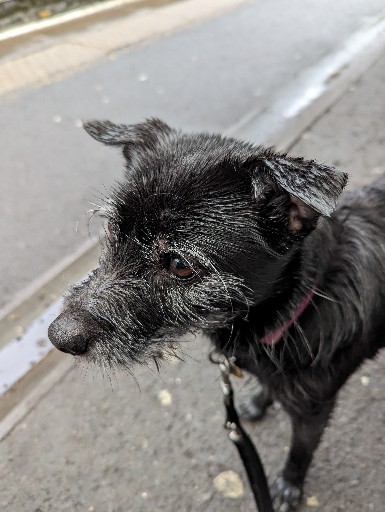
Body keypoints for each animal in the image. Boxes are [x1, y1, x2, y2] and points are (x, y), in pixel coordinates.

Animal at [48, 118, 384, 510]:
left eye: (179, 265)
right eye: (114, 228)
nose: (59, 336)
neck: (295, 311)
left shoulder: (314, 411)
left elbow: (300, 452)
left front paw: (289, 486)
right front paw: (261, 400)